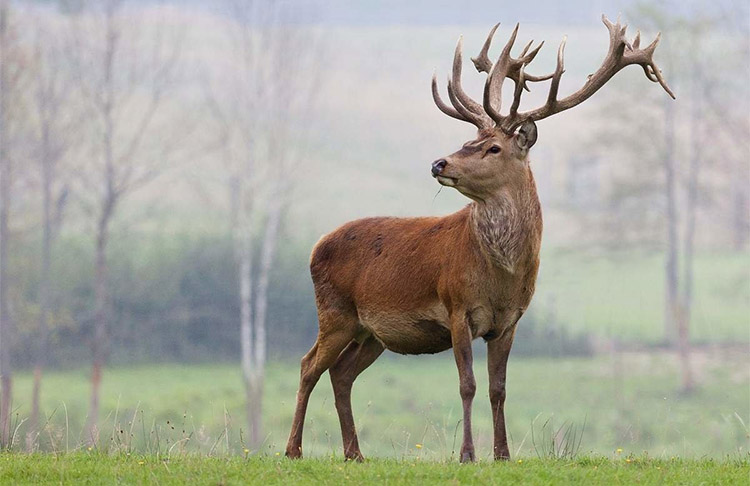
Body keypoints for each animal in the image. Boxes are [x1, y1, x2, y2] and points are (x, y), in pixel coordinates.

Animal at [285, 15, 674, 463]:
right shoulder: (456, 308)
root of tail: (316, 246)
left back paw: (354, 453)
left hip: (372, 332)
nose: (439, 162)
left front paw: (502, 453)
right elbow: (467, 385)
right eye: (467, 141)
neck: (500, 276)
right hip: (335, 311)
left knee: (341, 372)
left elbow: (498, 389)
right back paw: (293, 449)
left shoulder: (509, 321)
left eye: (492, 148)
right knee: (308, 365)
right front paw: (468, 453)